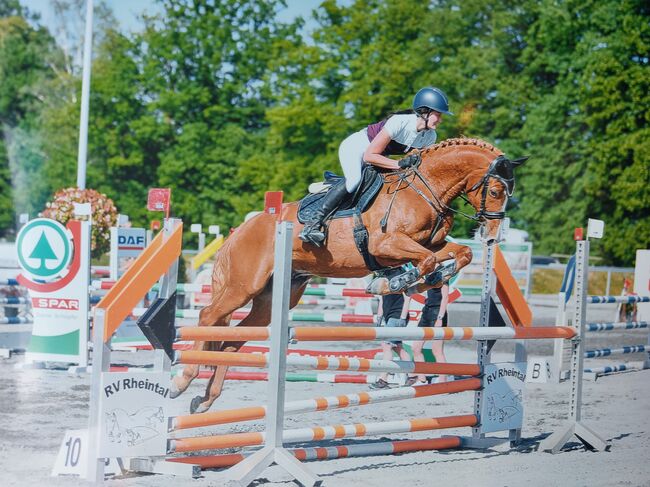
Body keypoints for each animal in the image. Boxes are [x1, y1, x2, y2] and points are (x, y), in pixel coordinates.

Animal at [171, 137, 520, 412]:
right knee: (207, 315)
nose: (492, 237)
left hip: (273, 298)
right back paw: (182, 381)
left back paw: (205, 399)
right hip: (243, 286)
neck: (425, 187)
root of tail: (241, 230)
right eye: (496, 191)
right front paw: (395, 282)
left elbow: (458, 254)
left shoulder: (430, 243)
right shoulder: (386, 243)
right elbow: (426, 260)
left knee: (233, 341)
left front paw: (426, 280)